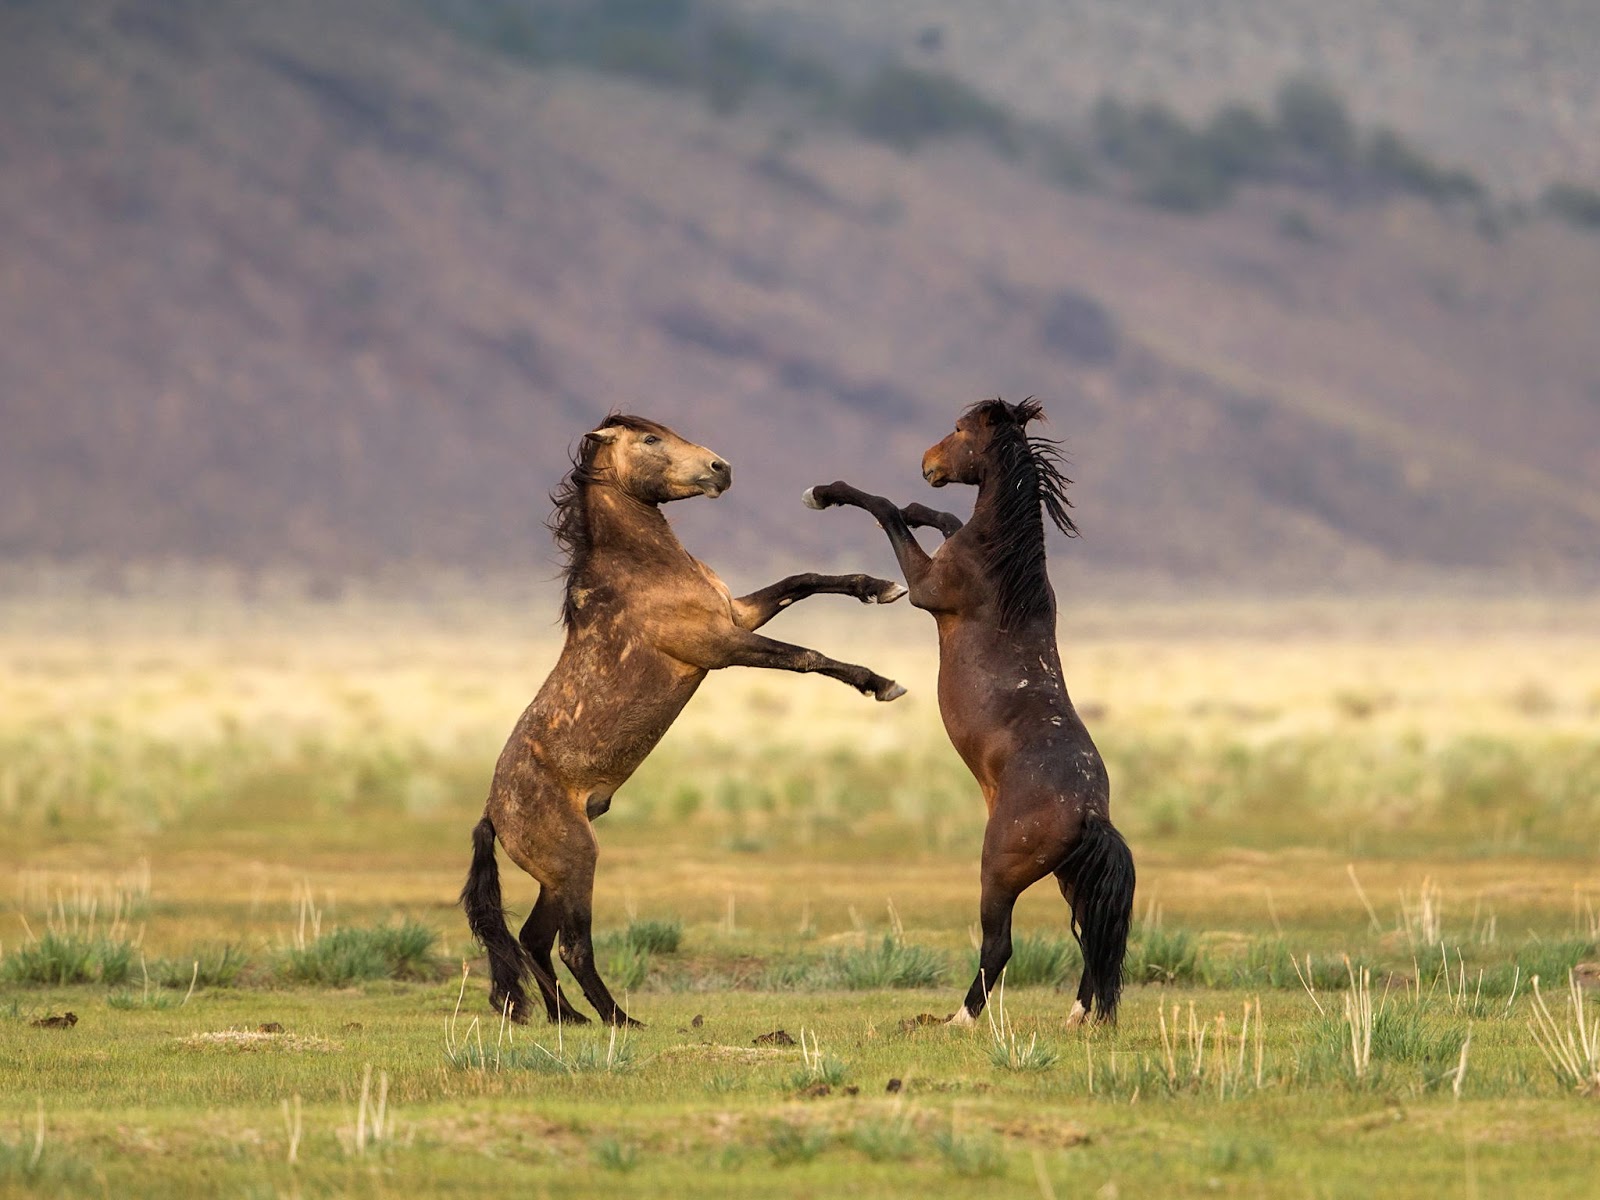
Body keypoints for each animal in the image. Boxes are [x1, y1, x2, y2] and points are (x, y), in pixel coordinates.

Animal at [461, 413, 910, 1027]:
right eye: (650, 439)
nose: (721, 469)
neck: (644, 569)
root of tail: (493, 814)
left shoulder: (737, 614)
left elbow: (802, 580)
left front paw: (881, 588)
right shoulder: (720, 644)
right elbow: (805, 655)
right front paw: (881, 683)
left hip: (555, 876)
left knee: (533, 940)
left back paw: (570, 1017)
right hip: (577, 862)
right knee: (571, 945)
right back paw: (620, 1019)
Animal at [804, 398, 1134, 1026]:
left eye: (959, 430)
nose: (927, 462)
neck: (1001, 568)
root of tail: (1090, 814)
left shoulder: (925, 587)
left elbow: (883, 508)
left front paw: (823, 492)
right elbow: (939, 516)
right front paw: (919, 504)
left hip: (998, 870)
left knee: (1000, 943)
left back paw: (953, 1019)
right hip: (1067, 876)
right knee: (1091, 939)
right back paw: (1077, 1016)